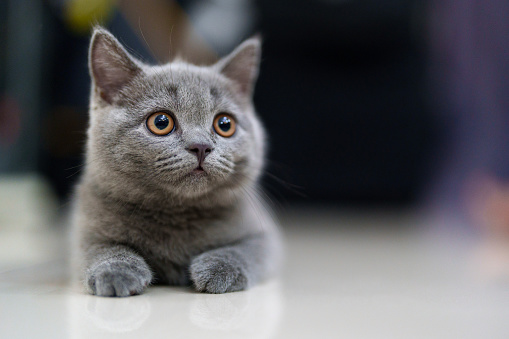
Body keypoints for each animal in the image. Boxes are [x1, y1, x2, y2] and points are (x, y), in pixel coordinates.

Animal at [71, 27, 284, 298]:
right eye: (161, 122)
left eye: (225, 124)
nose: (201, 146)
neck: (179, 214)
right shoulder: (84, 228)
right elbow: (100, 247)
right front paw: (117, 271)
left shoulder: (266, 236)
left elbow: (247, 249)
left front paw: (220, 268)